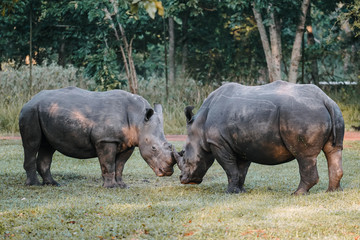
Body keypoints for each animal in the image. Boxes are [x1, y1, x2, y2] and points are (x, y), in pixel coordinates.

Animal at [19, 86, 175, 188]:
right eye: (154, 148)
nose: (167, 172)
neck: (139, 119)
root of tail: (31, 99)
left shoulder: (129, 142)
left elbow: (120, 165)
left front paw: (122, 185)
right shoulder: (106, 139)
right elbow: (109, 163)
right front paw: (110, 187)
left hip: (47, 112)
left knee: (48, 146)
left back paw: (53, 184)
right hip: (30, 112)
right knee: (32, 144)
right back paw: (34, 185)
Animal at [173, 80, 344, 195]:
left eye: (183, 154)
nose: (183, 179)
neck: (199, 125)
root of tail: (325, 99)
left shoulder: (218, 143)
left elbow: (230, 169)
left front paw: (229, 193)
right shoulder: (243, 144)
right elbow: (240, 170)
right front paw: (240, 191)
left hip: (303, 113)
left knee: (304, 156)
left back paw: (298, 194)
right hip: (331, 109)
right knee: (333, 151)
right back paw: (332, 192)